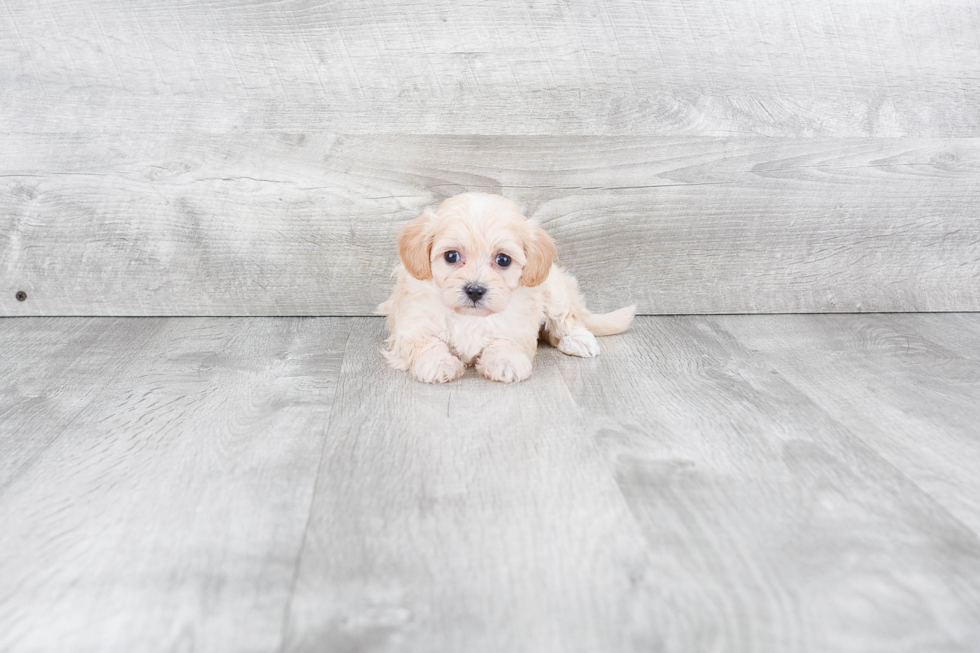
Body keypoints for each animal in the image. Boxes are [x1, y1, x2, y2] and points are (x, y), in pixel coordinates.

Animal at [376, 191, 636, 382]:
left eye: (503, 260)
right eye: (451, 256)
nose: (475, 290)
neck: (470, 317)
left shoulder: (516, 326)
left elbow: (505, 342)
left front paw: (505, 363)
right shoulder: (412, 326)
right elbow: (426, 343)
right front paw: (439, 363)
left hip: (554, 290)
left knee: (567, 320)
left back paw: (579, 340)